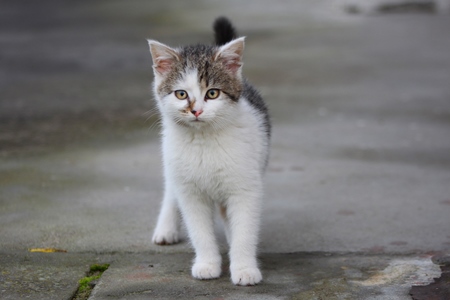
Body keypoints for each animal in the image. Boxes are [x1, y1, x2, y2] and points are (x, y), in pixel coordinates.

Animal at [148, 17, 270, 286]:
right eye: (181, 94)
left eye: (212, 93)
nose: (196, 111)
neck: (204, 141)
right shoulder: (190, 191)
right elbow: (199, 231)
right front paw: (207, 264)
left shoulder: (245, 187)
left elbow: (244, 229)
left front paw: (244, 268)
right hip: (173, 160)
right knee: (171, 189)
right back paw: (166, 228)